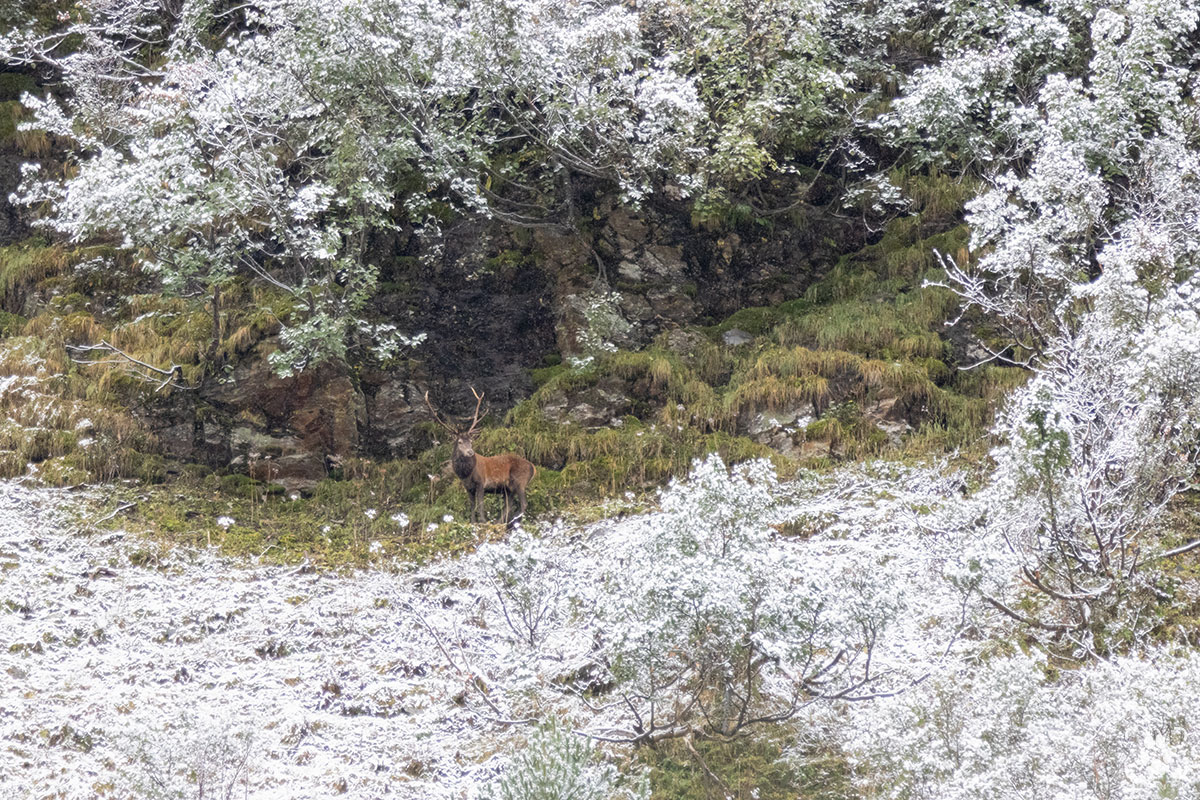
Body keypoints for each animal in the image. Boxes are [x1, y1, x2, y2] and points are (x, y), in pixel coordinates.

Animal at [425, 387, 536, 526]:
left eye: (471, 441)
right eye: (459, 442)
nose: (470, 452)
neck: (466, 473)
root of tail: (533, 468)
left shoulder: (481, 482)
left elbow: (480, 504)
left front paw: (482, 521)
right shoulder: (468, 487)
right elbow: (472, 505)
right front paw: (473, 521)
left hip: (520, 481)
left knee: (523, 503)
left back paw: (513, 522)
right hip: (508, 488)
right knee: (509, 505)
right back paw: (500, 522)